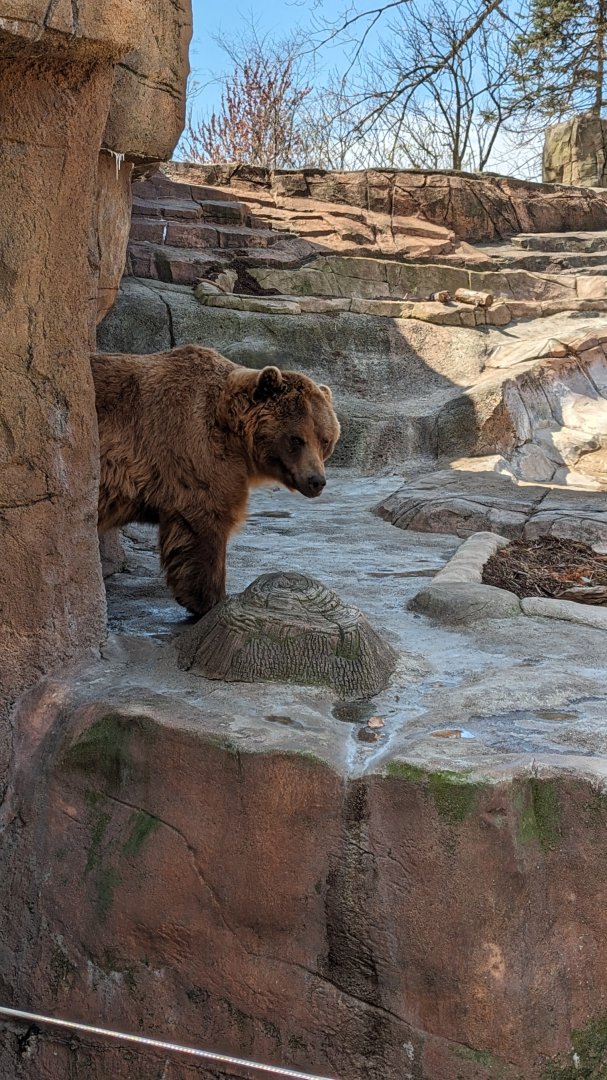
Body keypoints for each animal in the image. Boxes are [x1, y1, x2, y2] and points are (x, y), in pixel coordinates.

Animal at [91, 344, 340, 617]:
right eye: (296, 439)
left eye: (325, 439)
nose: (316, 480)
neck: (233, 432)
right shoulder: (194, 448)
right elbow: (206, 524)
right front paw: (211, 599)